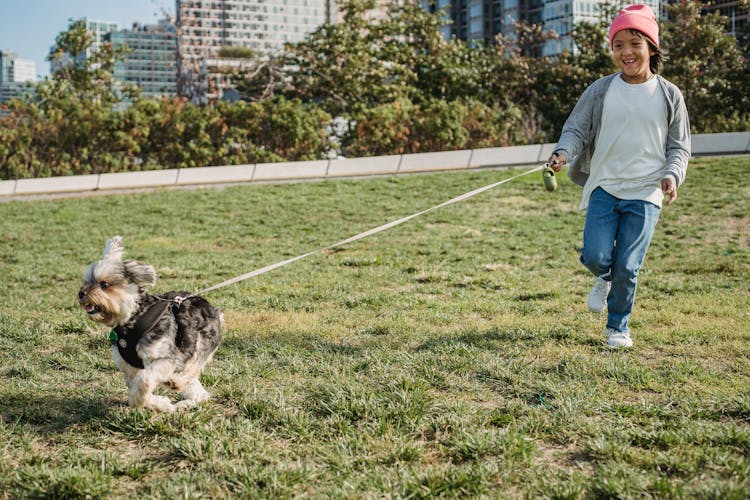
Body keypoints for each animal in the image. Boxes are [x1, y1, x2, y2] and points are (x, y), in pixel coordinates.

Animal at [78, 236, 223, 412]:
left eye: (104, 284)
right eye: (86, 281)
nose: (81, 293)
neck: (133, 318)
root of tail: (213, 309)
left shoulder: (165, 358)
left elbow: (144, 380)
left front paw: (148, 401)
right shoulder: (129, 368)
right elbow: (137, 389)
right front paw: (162, 404)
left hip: (199, 344)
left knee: (190, 370)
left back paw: (176, 381)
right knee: (201, 394)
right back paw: (185, 403)